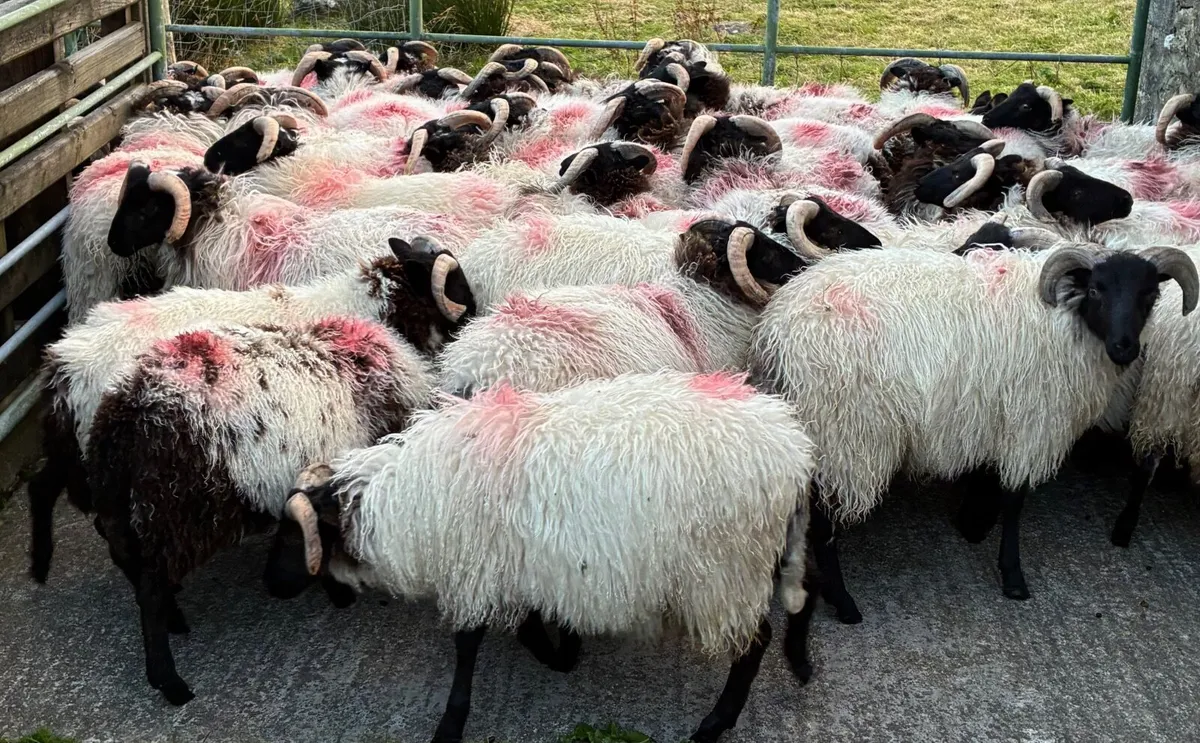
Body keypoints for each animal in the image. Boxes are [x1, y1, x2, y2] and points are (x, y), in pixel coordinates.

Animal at [28, 237, 474, 584]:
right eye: (457, 284)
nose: (474, 319)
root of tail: (64, 360)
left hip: (81, 453)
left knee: (44, 484)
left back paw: (40, 565)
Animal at [85, 315, 437, 704]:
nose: (275, 586)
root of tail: (126, 409)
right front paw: (339, 593)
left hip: (121, 498)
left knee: (123, 552)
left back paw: (174, 617)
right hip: (176, 512)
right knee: (149, 588)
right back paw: (169, 681)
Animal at [265, 370, 817, 743]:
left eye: (292, 536)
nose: (272, 585)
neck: (404, 503)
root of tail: (793, 452)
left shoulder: (475, 568)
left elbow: (468, 647)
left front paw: (451, 724)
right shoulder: (519, 562)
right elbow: (530, 622)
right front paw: (563, 649)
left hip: (725, 571)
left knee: (755, 644)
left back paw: (714, 724)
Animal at [749, 244, 1198, 615]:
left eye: (1149, 295)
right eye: (1096, 290)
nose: (1126, 347)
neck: (1066, 321)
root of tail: (775, 332)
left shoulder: (995, 415)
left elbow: (989, 480)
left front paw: (973, 524)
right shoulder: (1031, 422)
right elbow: (1015, 501)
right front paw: (1012, 576)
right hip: (849, 430)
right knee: (824, 518)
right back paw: (843, 603)